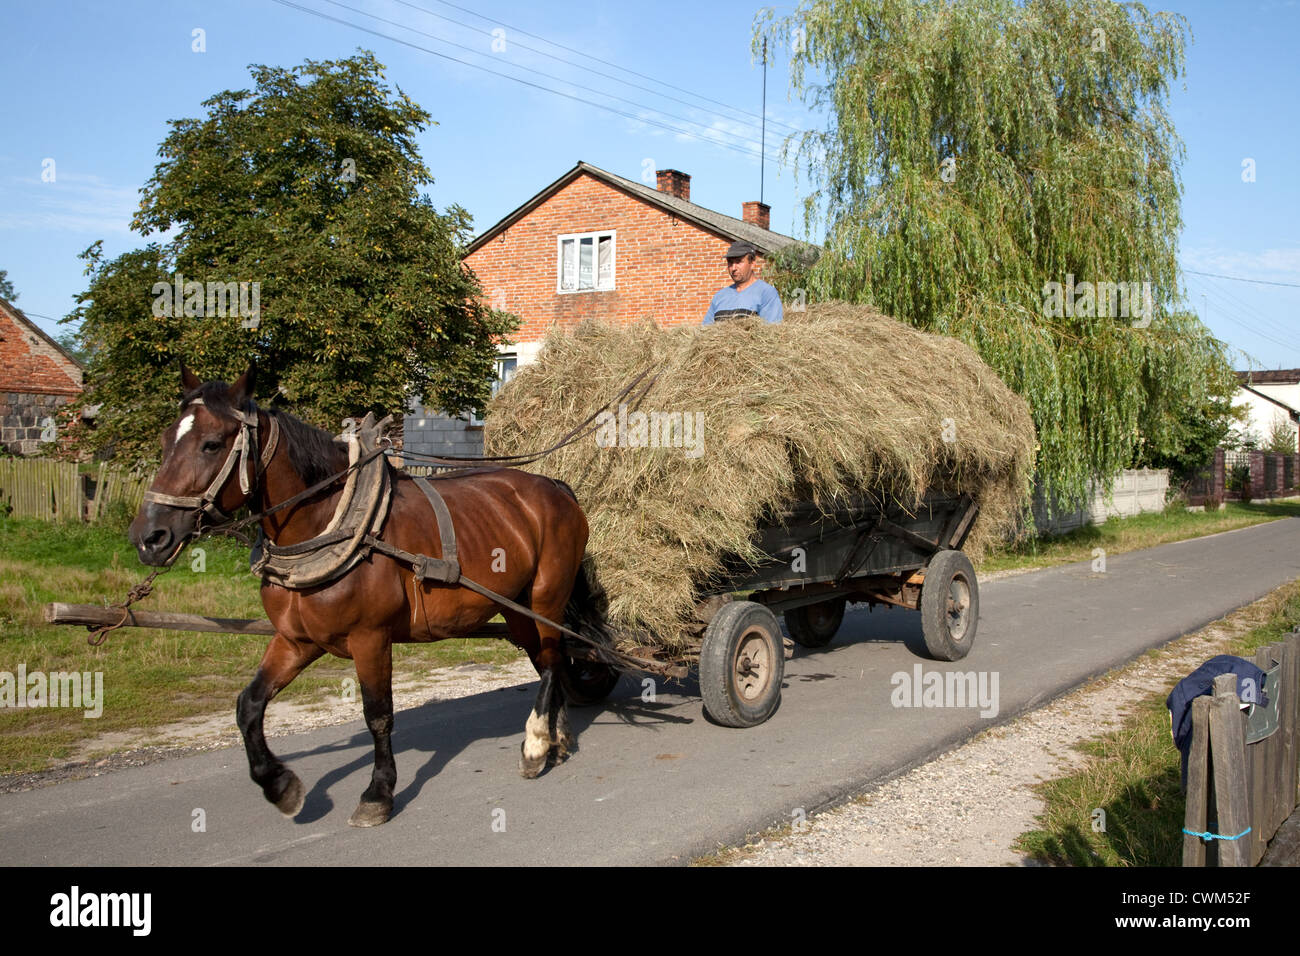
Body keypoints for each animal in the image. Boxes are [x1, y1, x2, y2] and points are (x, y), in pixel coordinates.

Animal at [129, 361, 616, 827]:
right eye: (165, 440)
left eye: (212, 444)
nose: (148, 537)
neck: (333, 524)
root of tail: (556, 487)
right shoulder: (296, 640)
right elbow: (248, 704)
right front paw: (280, 785)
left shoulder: (371, 638)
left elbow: (377, 715)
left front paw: (378, 794)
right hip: (514, 605)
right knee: (550, 660)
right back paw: (557, 738)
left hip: (545, 596)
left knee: (551, 662)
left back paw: (535, 746)